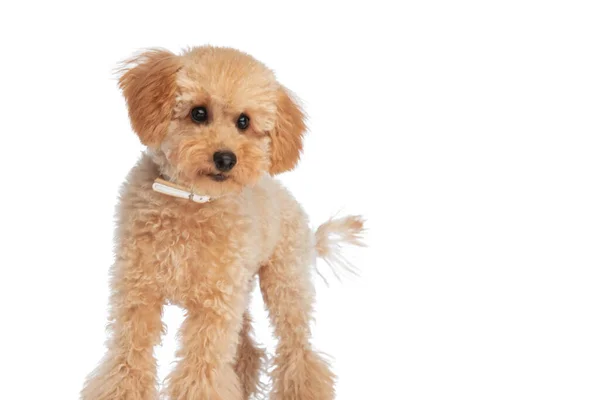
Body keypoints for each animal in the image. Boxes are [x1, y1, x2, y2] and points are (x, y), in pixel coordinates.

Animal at [81, 46, 364, 400]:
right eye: (198, 113)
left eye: (244, 121)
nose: (226, 158)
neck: (191, 202)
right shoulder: (139, 290)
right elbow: (129, 356)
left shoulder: (213, 307)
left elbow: (204, 368)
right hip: (241, 288)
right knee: (245, 343)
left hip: (284, 284)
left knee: (297, 346)